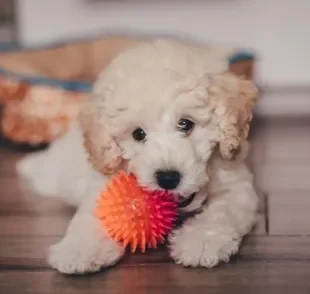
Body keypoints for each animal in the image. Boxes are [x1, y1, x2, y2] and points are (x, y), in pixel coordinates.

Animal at [17, 38, 260, 274]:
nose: (168, 178)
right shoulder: (102, 183)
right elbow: (91, 215)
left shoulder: (237, 186)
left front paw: (200, 242)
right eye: (138, 134)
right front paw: (79, 250)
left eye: (186, 124)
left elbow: (220, 213)